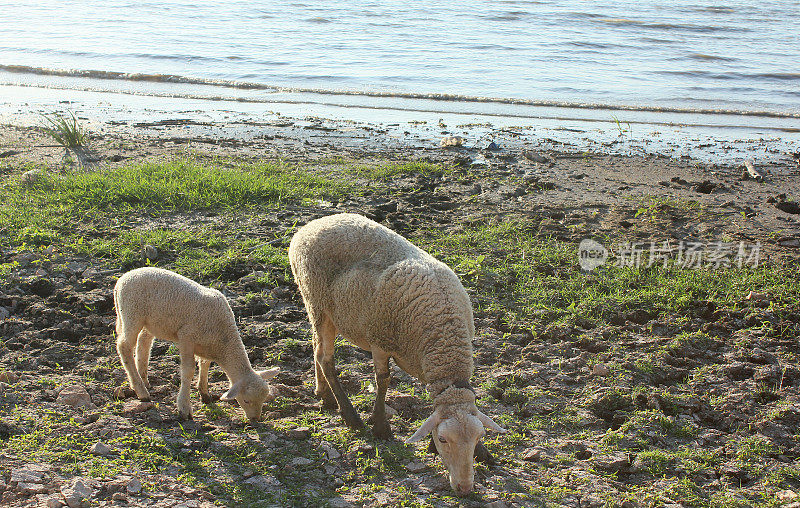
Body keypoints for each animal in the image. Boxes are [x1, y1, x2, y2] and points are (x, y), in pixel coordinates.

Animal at [111, 268, 276, 422]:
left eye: (263, 398)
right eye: (246, 400)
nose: (255, 419)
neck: (223, 340)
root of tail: (122, 280)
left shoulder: (206, 344)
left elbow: (205, 364)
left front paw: (205, 394)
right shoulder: (186, 337)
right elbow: (188, 371)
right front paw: (184, 408)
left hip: (150, 321)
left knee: (144, 342)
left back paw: (144, 380)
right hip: (132, 313)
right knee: (124, 346)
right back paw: (141, 391)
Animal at [290, 212, 506, 494]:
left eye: (479, 436)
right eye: (443, 439)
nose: (465, 488)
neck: (444, 333)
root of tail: (312, 225)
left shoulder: (426, 361)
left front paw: (481, 452)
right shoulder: (381, 341)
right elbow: (383, 381)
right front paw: (380, 427)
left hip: (328, 312)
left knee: (316, 349)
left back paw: (324, 396)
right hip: (317, 302)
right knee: (326, 359)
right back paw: (350, 416)